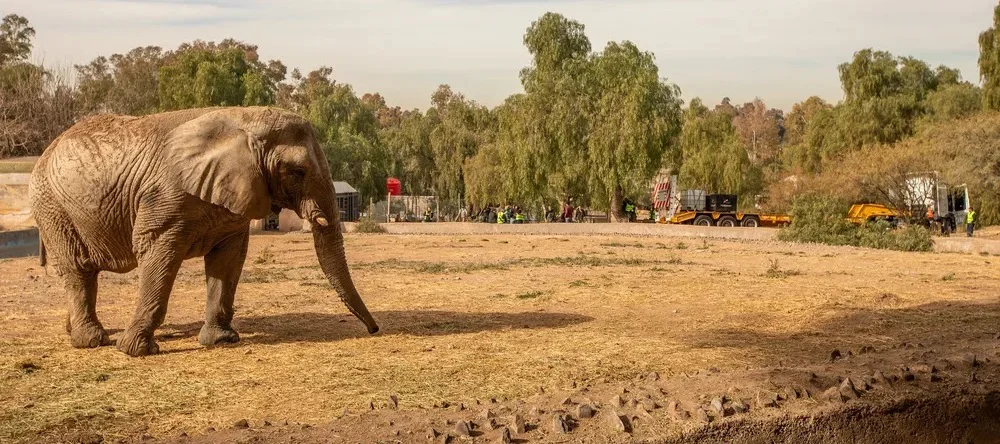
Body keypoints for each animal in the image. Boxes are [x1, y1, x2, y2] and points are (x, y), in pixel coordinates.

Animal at [29, 106, 380, 357]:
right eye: (297, 172)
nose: (374, 330)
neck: (245, 119)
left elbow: (228, 261)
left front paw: (222, 341)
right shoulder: (165, 199)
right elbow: (158, 256)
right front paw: (135, 351)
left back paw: (74, 331)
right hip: (53, 206)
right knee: (78, 269)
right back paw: (91, 341)